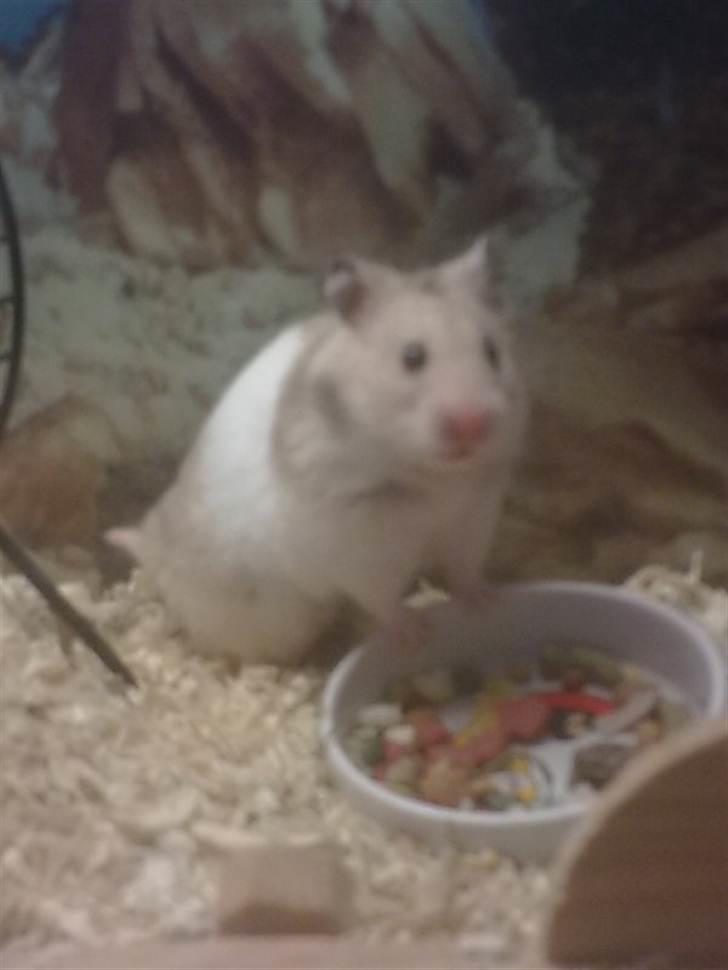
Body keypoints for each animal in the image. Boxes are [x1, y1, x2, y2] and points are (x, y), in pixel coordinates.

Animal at [107, 237, 528, 665]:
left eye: (492, 351)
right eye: (412, 357)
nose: (472, 424)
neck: (435, 479)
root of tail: (151, 548)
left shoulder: (472, 519)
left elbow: (465, 572)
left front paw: (487, 603)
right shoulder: (360, 550)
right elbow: (385, 601)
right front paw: (414, 633)